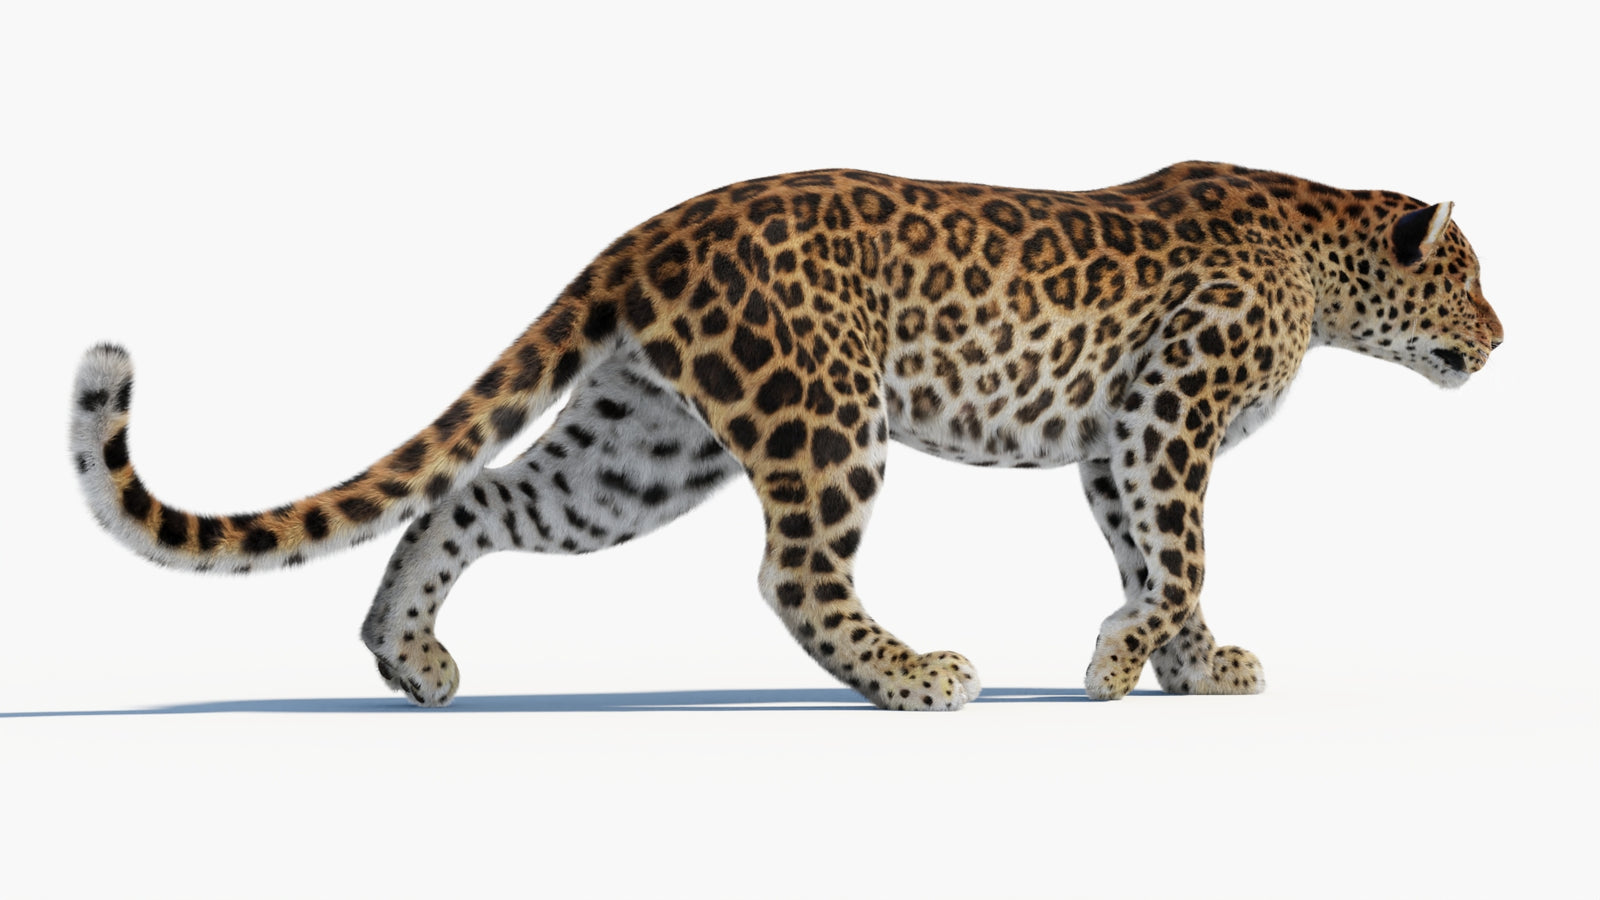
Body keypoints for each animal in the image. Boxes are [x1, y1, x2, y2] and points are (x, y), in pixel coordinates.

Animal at [69, 162, 1503, 709]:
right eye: (1469, 280)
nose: (1502, 338)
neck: (1320, 260)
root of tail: (653, 228)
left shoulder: (1118, 445)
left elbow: (1161, 564)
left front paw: (1190, 669)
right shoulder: (1166, 415)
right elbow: (1182, 558)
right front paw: (1113, 666)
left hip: (640, 450)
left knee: (468, 498)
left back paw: (406, 657)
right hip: (823, 413)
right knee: (794, 571)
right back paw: (916, 676)